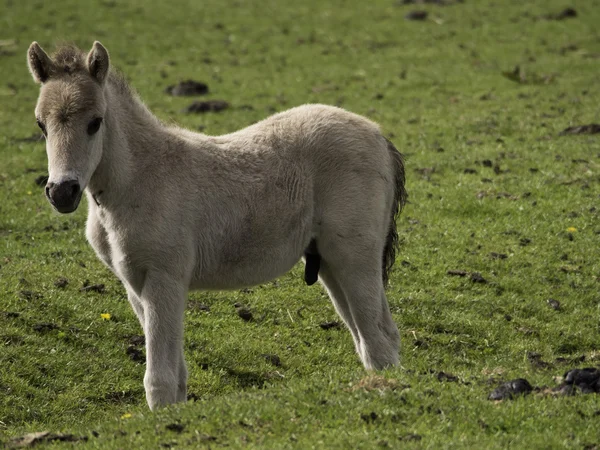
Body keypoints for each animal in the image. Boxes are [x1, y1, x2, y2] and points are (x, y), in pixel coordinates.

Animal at [25, 40, 406, 410]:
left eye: (95, 122)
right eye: (41, 125)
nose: (62, 192)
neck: (141, 179)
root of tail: (378, 135)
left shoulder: (165, 278)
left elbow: (160, 377)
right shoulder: (134, 284)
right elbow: (177, 373)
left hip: (354, 256)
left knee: (377, 339)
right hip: (328, 262)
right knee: (377, 336)